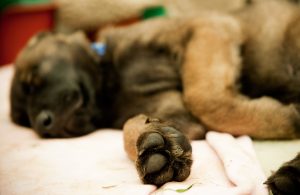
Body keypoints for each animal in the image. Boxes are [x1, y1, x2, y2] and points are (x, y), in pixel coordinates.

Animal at [9, 0, 300, 190]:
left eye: (31, 83)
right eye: (24, 120)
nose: (43, 125)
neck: (111, 83)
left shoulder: (208, 28)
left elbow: (204, 98)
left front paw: (280, 116)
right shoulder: (179, 116)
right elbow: (131, 128)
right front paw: (157, 148)